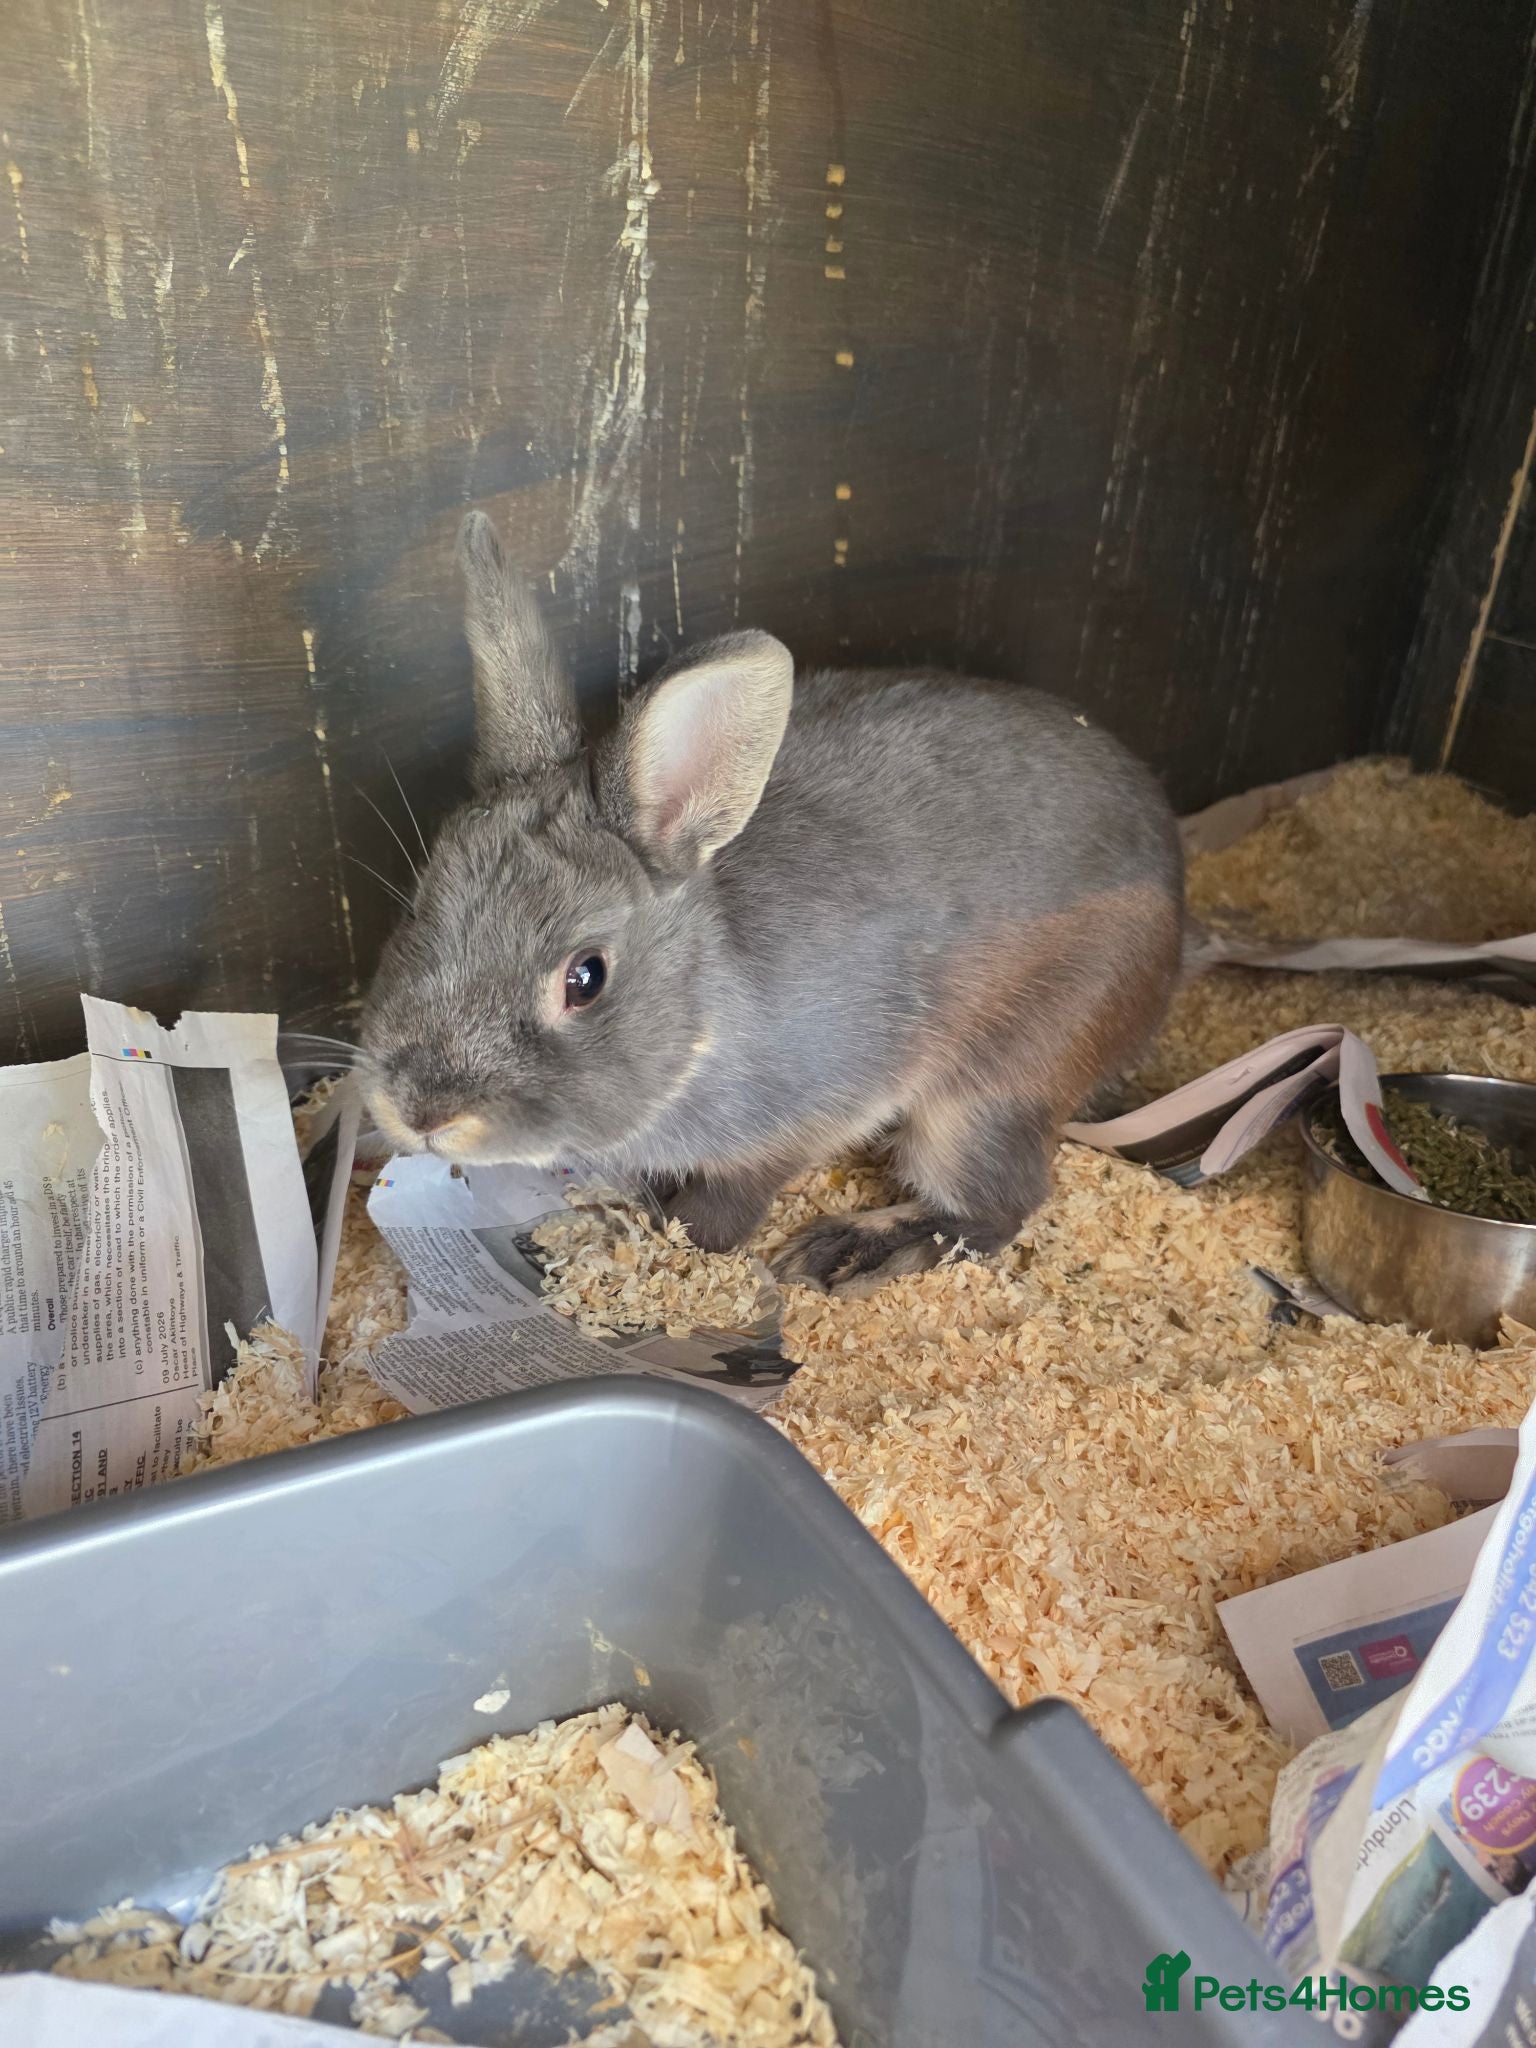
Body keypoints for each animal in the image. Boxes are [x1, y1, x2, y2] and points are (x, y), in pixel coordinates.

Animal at [360, 510, 1185, 1297]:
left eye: (585, 977)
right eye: (418, 908)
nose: (422, 1112)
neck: (705, 1019)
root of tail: (1176, 908)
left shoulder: (805, 1114)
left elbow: (728, 1201)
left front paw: (677, 1244)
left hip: (989, 1092)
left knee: (997, 1203)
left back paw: (847, 1249)